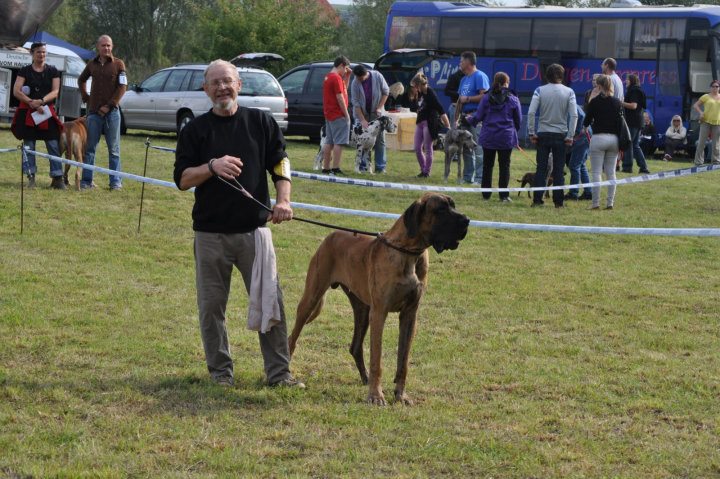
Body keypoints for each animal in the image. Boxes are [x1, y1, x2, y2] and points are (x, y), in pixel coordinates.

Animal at [290, 193, 470, 406]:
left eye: (453, 206)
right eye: (441, 209)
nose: (467, 220)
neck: (408, 252)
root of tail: (331, 236)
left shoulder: (410, 315)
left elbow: (403, 360)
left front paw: (400, 395)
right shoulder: (379, 312)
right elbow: (377, 358)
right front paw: (376, 395)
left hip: (362, 309)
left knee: (355, 346)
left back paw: (365, 378)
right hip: (311, 299)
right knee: (292, 337)